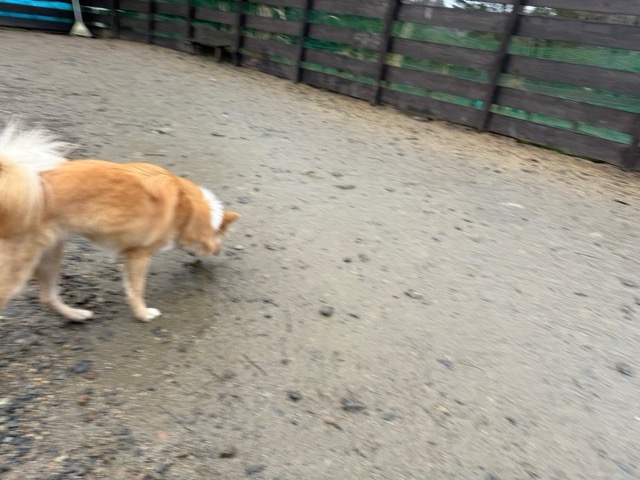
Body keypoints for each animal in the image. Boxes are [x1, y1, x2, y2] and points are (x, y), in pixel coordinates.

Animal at [0, 122, 239, 322]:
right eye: (221, 241)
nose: (218, 254)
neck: (188, 209)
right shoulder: (139, 256)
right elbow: (137, 290)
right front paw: (143, 314)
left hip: (50, 253)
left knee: (48, 296)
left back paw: (76, 315)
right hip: (19, 267)